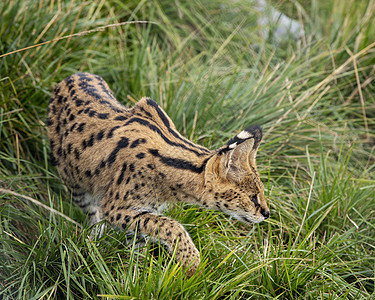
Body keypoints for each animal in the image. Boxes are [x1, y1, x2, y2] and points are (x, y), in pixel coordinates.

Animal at [47, 72, 270, 276]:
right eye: (252, 197)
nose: (267, 214)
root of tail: (73, 75)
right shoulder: (115, 208)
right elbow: (171, 225)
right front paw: (191, 262)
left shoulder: (141, 211)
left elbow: (143, 240)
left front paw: (136, 276)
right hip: (75, 184)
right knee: (93, 217)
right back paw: (94, 245)